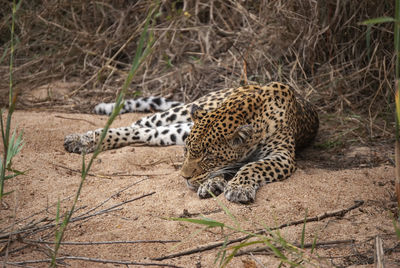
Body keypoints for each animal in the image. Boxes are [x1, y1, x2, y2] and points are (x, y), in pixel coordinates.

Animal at [63, 81, 318, 203]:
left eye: (208, 157)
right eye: (187, 151)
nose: (184, 178)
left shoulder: (282, 156)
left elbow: (252, 166)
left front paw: (233, 186)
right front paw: (216, 184)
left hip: (176, 130)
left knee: (145, 133)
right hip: (185, 111)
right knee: (139, 123)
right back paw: (81, 139)